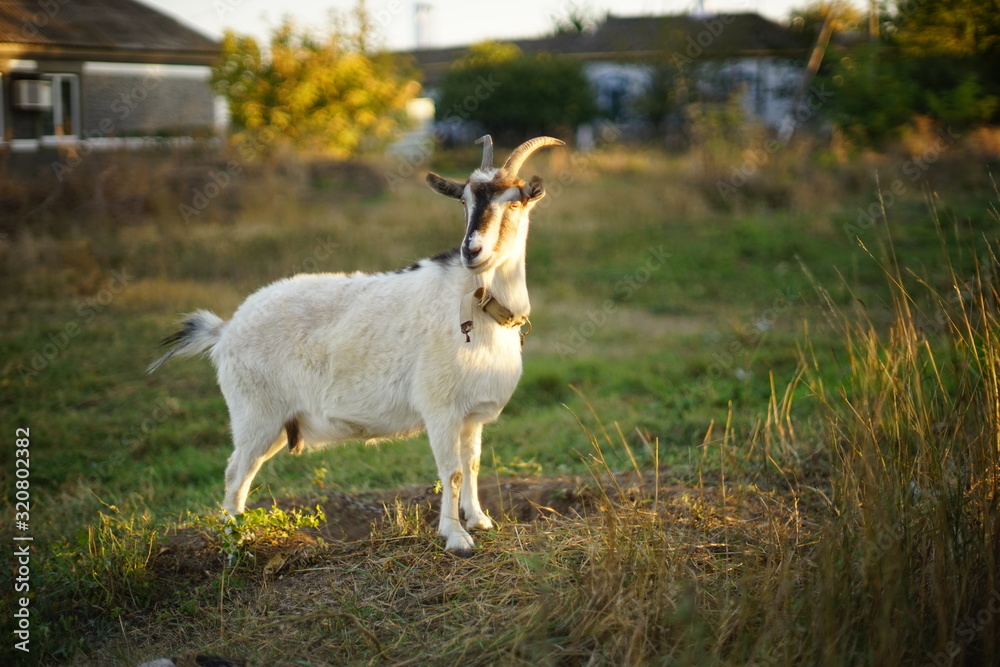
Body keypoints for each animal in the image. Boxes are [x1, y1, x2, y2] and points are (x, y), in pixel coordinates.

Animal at [148, 135, 564, 554]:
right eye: (464, 202)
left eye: (514, 201)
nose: (471, 251)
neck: (477, 303)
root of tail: (225, 329)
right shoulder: (441, 408)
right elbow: (453, 471)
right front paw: (456, 537)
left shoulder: (470, 415)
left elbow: (473, 464)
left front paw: (479, 520)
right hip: (255, 412)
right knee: (236, 471)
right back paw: (237, 538)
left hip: (276, 422)